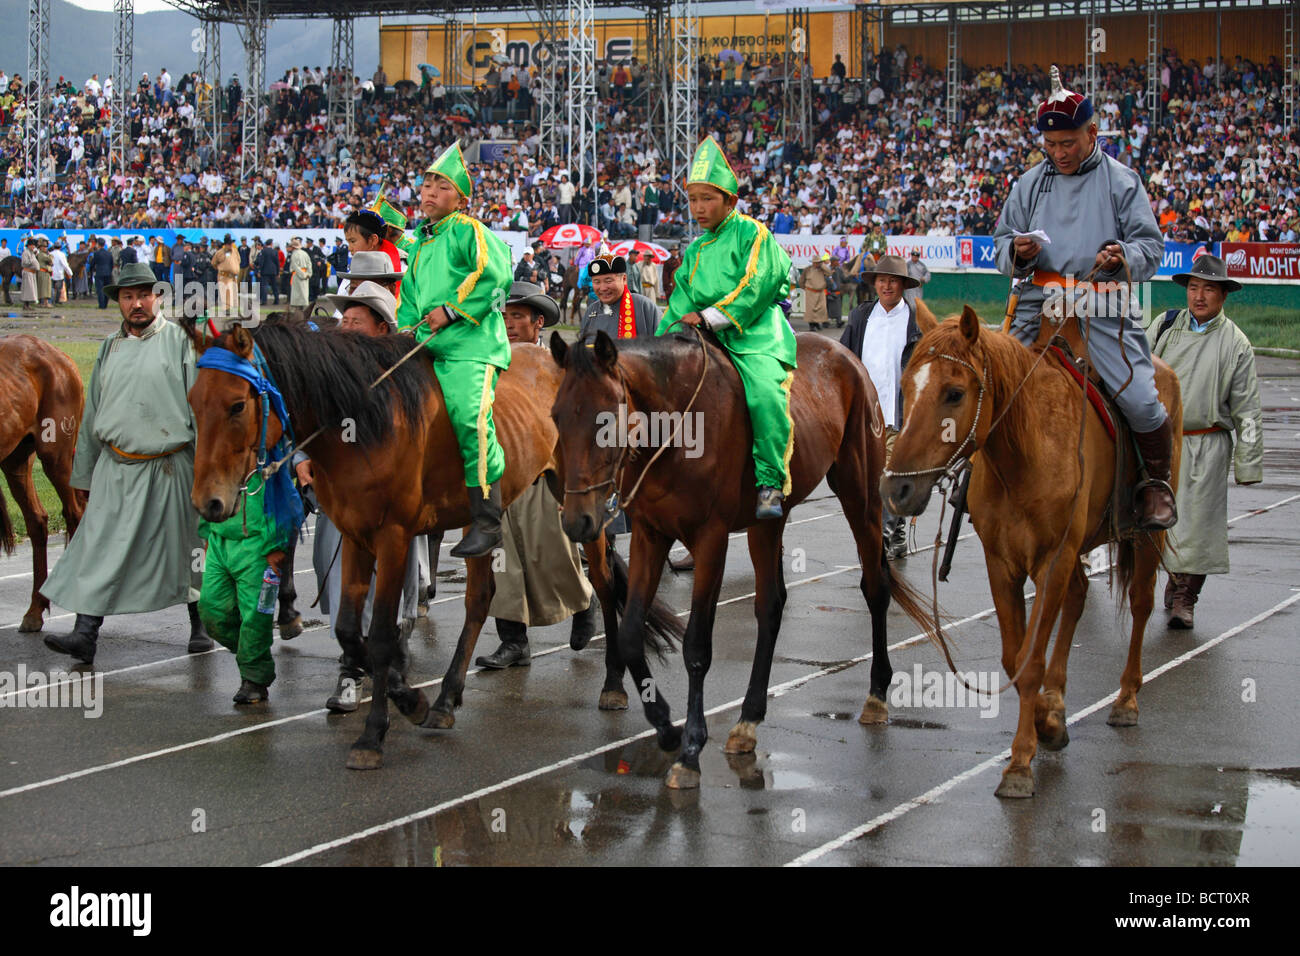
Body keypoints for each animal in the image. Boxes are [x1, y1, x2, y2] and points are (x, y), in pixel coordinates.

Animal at [183, 325, 665, 775]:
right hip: (486, 517)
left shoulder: (394, 537)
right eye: (192, 401)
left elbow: (379, 634)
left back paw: (613, 684)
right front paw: (407, 695)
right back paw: (446, 699)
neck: (361, 425)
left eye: (237, 405)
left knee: (603, 583)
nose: (209, 502)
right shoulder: (355, 537)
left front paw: (374, 734)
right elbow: (348, 629)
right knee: (480, 599)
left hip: (582, 502)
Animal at [548, 329, 935, 790]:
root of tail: (845, 354)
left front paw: (691, 750)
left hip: (860, 495)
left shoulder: (710, 539)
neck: (677, 427)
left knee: (875, 587)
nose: (577, 520)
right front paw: (666, 727)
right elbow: (628, 635)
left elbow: (697, 645)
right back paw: (748, 720)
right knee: (770, 606)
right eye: (555, 416)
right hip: (767, 522)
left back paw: (876, 697)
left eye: (605, 419)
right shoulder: (649, 534)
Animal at [883, 308, 1180, 801]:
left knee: (1140, 604)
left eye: (954, 393)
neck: (1024, 454)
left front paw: (1021, 763)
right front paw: (1046, 722)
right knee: (1078, 598)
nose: (897, 490)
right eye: (905, 386)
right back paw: (1057, 702)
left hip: (1144, 538)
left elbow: (1030, 661)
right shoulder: (1003, 565)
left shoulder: (1051, 561)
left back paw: (1126, 698)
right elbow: (1015, 658)